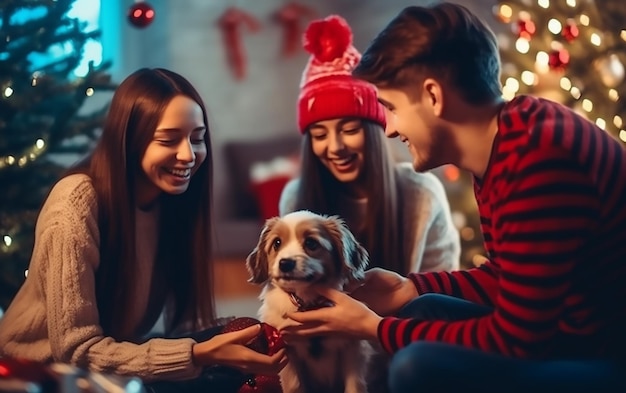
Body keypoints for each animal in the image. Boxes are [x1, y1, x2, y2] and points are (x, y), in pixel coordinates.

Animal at [244, 210, 370, 392]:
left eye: (311, 243)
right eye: (277, 243)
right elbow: (295, 385)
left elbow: (354, 385)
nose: (285, 263)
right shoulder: (287, 352)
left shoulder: (352, 349)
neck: (307, 302)